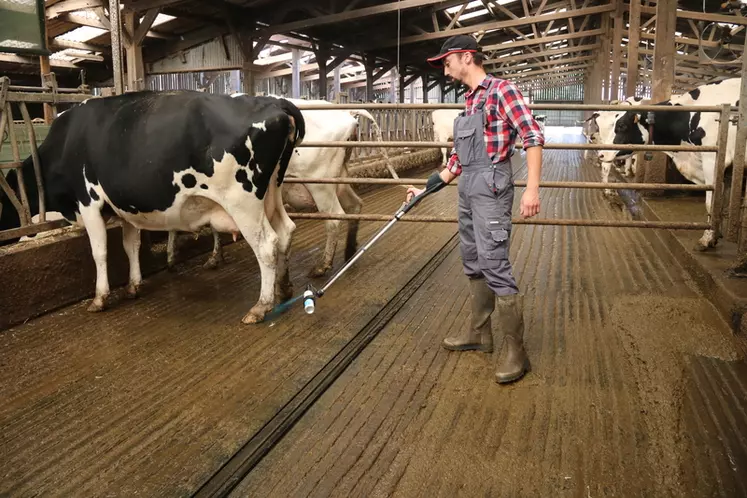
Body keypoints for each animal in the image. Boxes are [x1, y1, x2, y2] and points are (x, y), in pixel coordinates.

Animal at [0, 89, 304, 322]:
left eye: (2, 198)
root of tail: (272, 102)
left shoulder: (89, 201)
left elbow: (99, 252)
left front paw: (100, 298)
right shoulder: (125, 207)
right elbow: (130, 246)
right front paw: (134, 285)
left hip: (242, 202)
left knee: (266, 245)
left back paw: (261, 306)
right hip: (272, 193)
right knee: (286, 231)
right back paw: (284, 287)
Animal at [600, 77, 744, 249]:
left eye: (621, 125)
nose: (601, 153)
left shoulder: (713, 160)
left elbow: (712, 202)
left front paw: (707, 239)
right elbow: (724, 204)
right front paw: (718, 234)